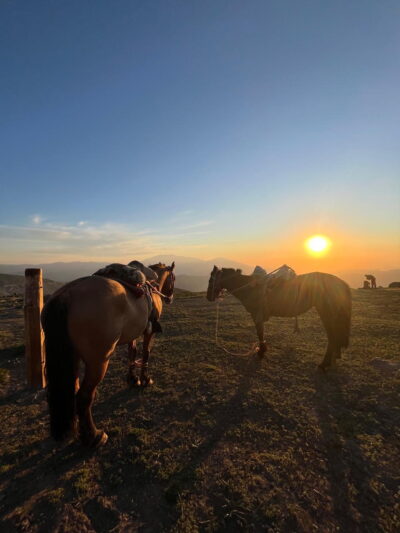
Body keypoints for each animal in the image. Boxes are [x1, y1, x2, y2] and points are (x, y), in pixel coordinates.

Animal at [41, 260, 177, 444]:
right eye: (173, 278)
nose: (170, 298)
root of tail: (66, 295)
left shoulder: (133, 333)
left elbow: (132, 353)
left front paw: (133, 379)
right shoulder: (149, 332)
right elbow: (145, 353)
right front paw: (145, 379)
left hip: (72, 358)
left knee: (73, 392)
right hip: (98, 362)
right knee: (84, 397)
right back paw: (94, 436)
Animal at [208, 268, 352, 368]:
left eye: (210, 279)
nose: (208, 297)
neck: (249, 287)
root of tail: (341, 283)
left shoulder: (257, 315)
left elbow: (260, 334)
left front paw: (261, 352)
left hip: (327, 314)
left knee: (332, 337)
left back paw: (324, 364)